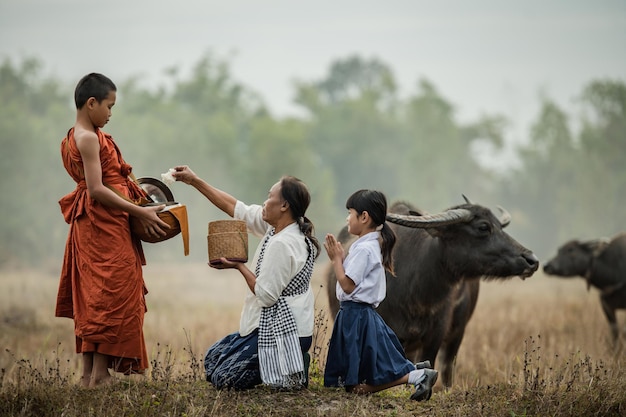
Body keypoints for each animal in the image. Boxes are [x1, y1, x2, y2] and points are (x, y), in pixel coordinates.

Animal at [326, 197, 536, 388]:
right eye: (483, 227)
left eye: (500, 226)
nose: (531, 259)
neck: (418, 295)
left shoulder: (435, 335)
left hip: (457, 333)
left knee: (447, 367)